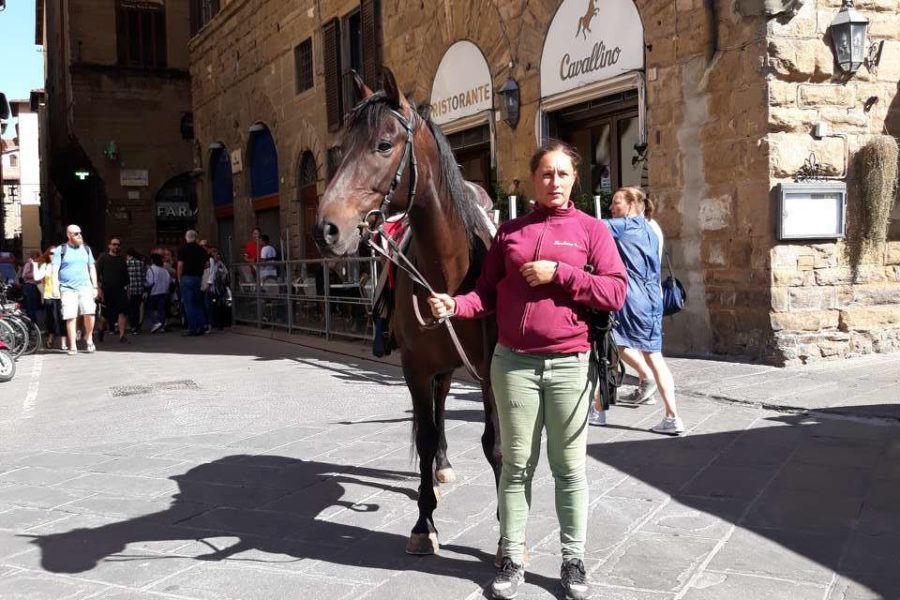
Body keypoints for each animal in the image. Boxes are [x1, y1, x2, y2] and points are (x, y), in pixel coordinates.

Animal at [314, 68, 500, 556]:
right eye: (342, 146)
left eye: (383, 144)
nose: (327, 228)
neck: (449, 270)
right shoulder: (415, 368)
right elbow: (427, 434)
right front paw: (423, 522)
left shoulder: (489, 371)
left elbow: (495, 444)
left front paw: (505, 533)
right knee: (434, 412)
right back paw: (439, 467)